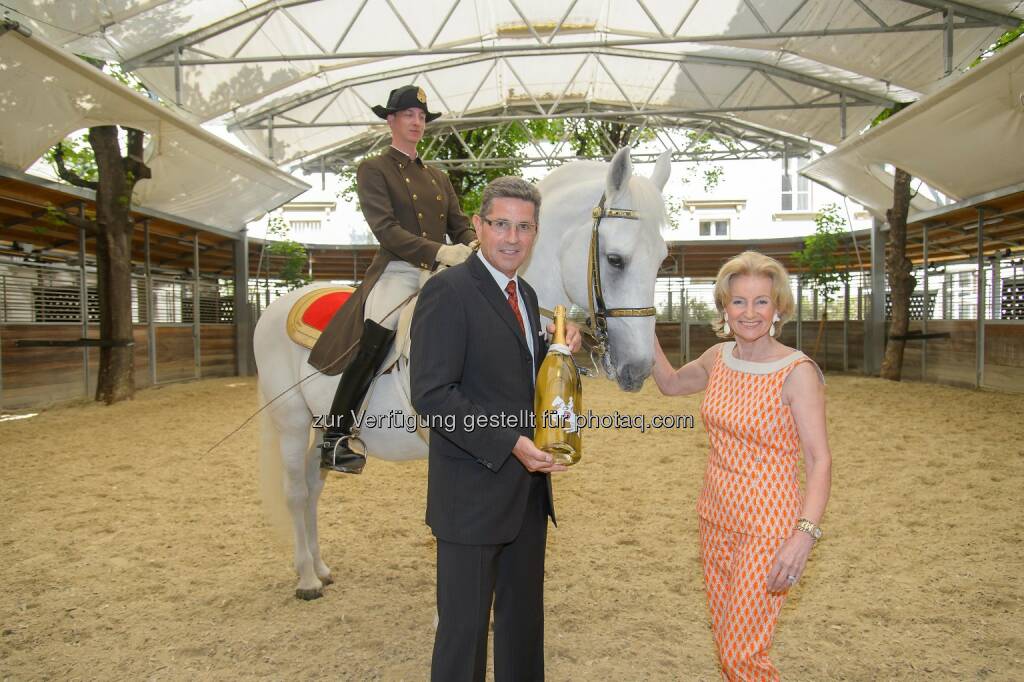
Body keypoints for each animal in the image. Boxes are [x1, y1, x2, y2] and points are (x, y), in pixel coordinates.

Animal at [253, 144, 671, 593]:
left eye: (662, 260)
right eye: (615, 259)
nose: (638, 368)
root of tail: (279, 305)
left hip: (318, 424)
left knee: (314, 486)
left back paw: (320, 567)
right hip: (292, 422)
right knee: (297, 492)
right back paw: (307, 578)